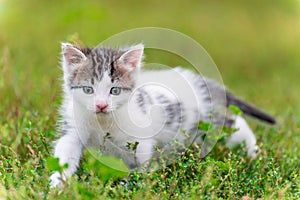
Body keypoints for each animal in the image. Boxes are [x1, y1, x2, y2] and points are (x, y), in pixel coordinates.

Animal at [48, 42, 274, 188]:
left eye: (115, 90)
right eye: (88, 89)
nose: (101, 105)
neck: (102, 123)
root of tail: (208, 85)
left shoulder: (139, 140)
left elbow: (138, 163)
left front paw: (128, 185)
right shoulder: (72, 128)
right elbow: (65, 153)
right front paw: (56, 184)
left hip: (212, 127)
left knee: (238, 126)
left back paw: (255, 154)